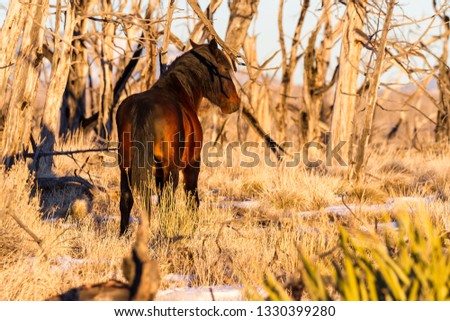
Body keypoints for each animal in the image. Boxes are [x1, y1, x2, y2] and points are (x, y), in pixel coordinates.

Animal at [118, 39, 241, 235]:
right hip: (171, 168)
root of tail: (144, 106)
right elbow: (192, 199)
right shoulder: (192, 165)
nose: (234, 103)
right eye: (224, 69)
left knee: (127, 199)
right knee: (170, 201)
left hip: (125, 166)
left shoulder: (157, 173)